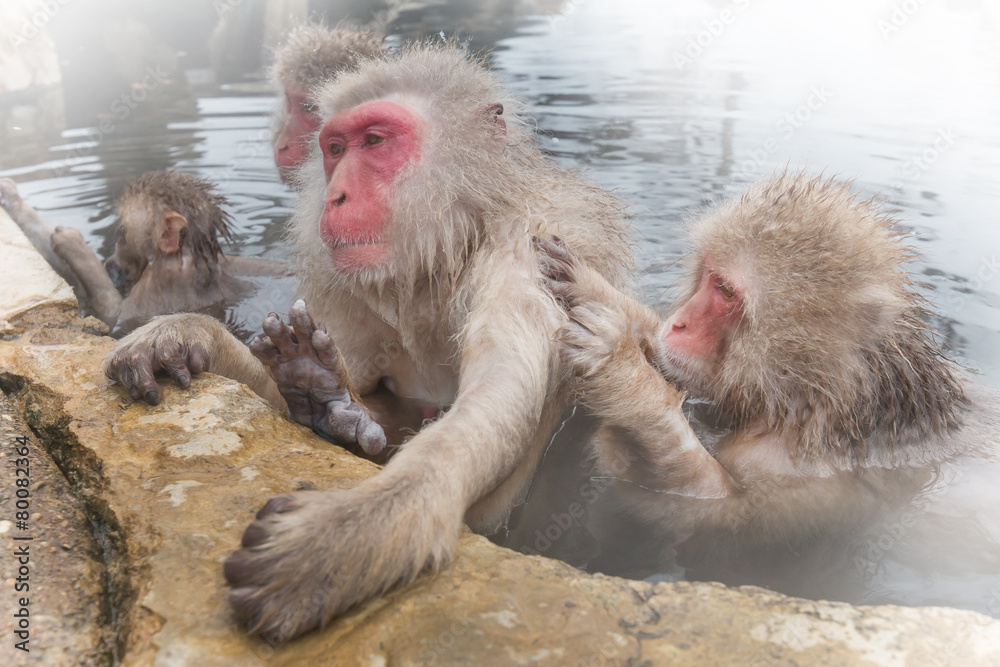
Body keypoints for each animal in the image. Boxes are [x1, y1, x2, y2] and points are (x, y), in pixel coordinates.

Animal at [2, 173, 288, 335]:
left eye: (122, 235)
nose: (111, 260)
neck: (187, 261)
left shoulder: (160, 286)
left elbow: (112, 315)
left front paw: (71, 242)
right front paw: (11, 198)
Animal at [102, 43, 633, 640]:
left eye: (374, 142)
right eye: (336, 149)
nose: (335, 196)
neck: (449, 245)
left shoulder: (536, 244)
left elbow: (502, 386)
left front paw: (362, 526)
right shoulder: (345, 280)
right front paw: (190, 334)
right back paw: (324, 398)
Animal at [535, 173, 1000, 588]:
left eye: (725, 291)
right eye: (708, 274)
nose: (678, 323)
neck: (823, 402)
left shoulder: (802, 475)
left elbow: (715, 512)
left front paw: (625, 375)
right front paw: (593, 288)